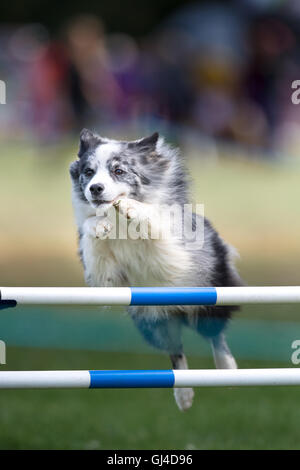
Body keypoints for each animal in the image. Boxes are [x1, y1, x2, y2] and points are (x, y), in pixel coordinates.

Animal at [70, 129, 244, 412]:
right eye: (88, 171)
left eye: (118, 170)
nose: (95, 188)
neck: (119, 223)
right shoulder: (105, 279)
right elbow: (92, 233)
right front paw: (98, 224)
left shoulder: (174, 252)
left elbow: (153, 222)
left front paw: (132, 208)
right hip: (153, 320)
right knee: (176, 352)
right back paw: (183, 395)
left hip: (209, 295)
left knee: (215, 335)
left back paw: (227, 371)